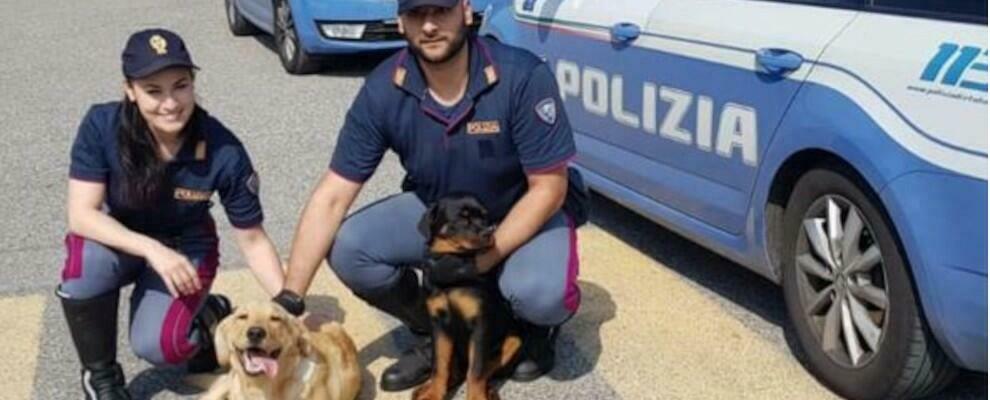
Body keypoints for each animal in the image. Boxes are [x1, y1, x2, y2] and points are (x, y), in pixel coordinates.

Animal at [412, 194, 524, 400]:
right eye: (463, 218)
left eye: (485, 216)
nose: (490, 231)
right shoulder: (439, 324)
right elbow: (440, 364)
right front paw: (435, 393)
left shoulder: (480, 323)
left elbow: (477, 369)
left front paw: (476, 397)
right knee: (455, 371)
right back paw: (428, 387)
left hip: (514, 340)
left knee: (486, 368)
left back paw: (489, 391)